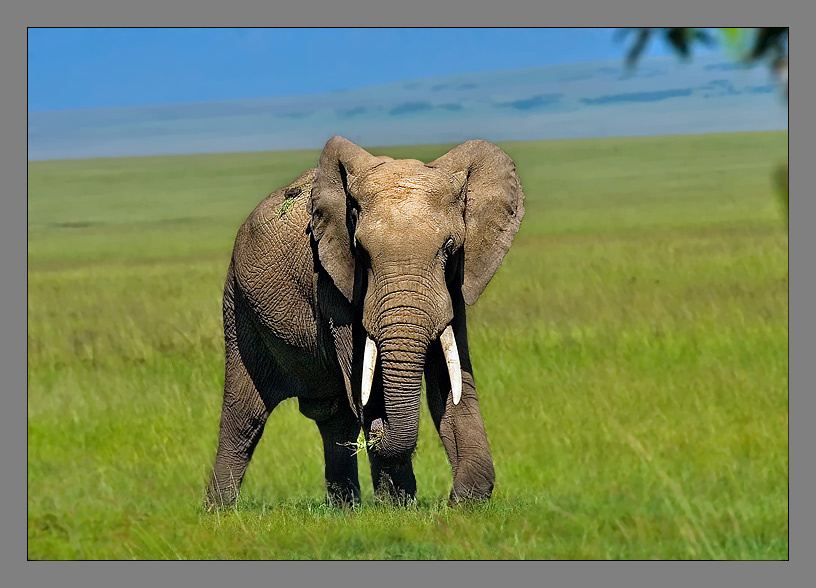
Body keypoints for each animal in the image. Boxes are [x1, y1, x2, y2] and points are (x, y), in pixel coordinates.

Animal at [205, 136, 525, 509]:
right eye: (361, 250)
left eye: (449, 247)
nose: (378, 429)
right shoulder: (331, 282)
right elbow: (363, 378)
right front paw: (397, 508)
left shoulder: (455, 284)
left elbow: (451, 378)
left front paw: (466, 502)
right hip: (238, 305)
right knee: (245, 416)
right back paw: (219, 512)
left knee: (336, 419)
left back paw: (344, 509)